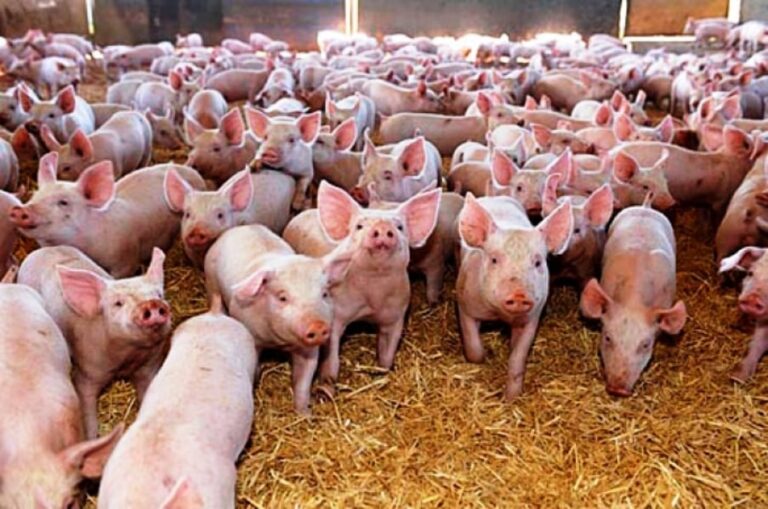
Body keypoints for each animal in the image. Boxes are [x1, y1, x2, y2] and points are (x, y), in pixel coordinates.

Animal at [18, 246, 171, 439]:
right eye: (118, 303)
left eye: (159, 294)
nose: (152, 303)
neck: (127, 358)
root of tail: (43, 249)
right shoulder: (86, 373)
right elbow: (87, 413)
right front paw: (91, 438)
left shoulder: (149, 366)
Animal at [204, 224, 352, 414]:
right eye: (282, 298)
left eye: (324, 294)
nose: (318, 326)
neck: (278, 342)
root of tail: (243, 227)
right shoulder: (251, 334)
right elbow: (255, 365)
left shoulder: (308, 350)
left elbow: (304, 381)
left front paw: (305, 414)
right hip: (211, 279)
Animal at [283, 182, 441, 391]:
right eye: (359, 226)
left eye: (400, 227)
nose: (382, 226)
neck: (372, 294)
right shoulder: (336, 312)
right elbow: (332, 357)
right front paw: (326, 389)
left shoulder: (396, 314)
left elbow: (388, 350)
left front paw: (383, 373)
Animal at [456, 194, 574, 399]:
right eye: (494, 259)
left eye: (537, 262)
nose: (519, 294)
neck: (499, 315)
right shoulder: (465, 304)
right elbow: (473, 345)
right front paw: (484, 357)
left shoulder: (532, 318)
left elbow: (518, 357)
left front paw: (511, 398)